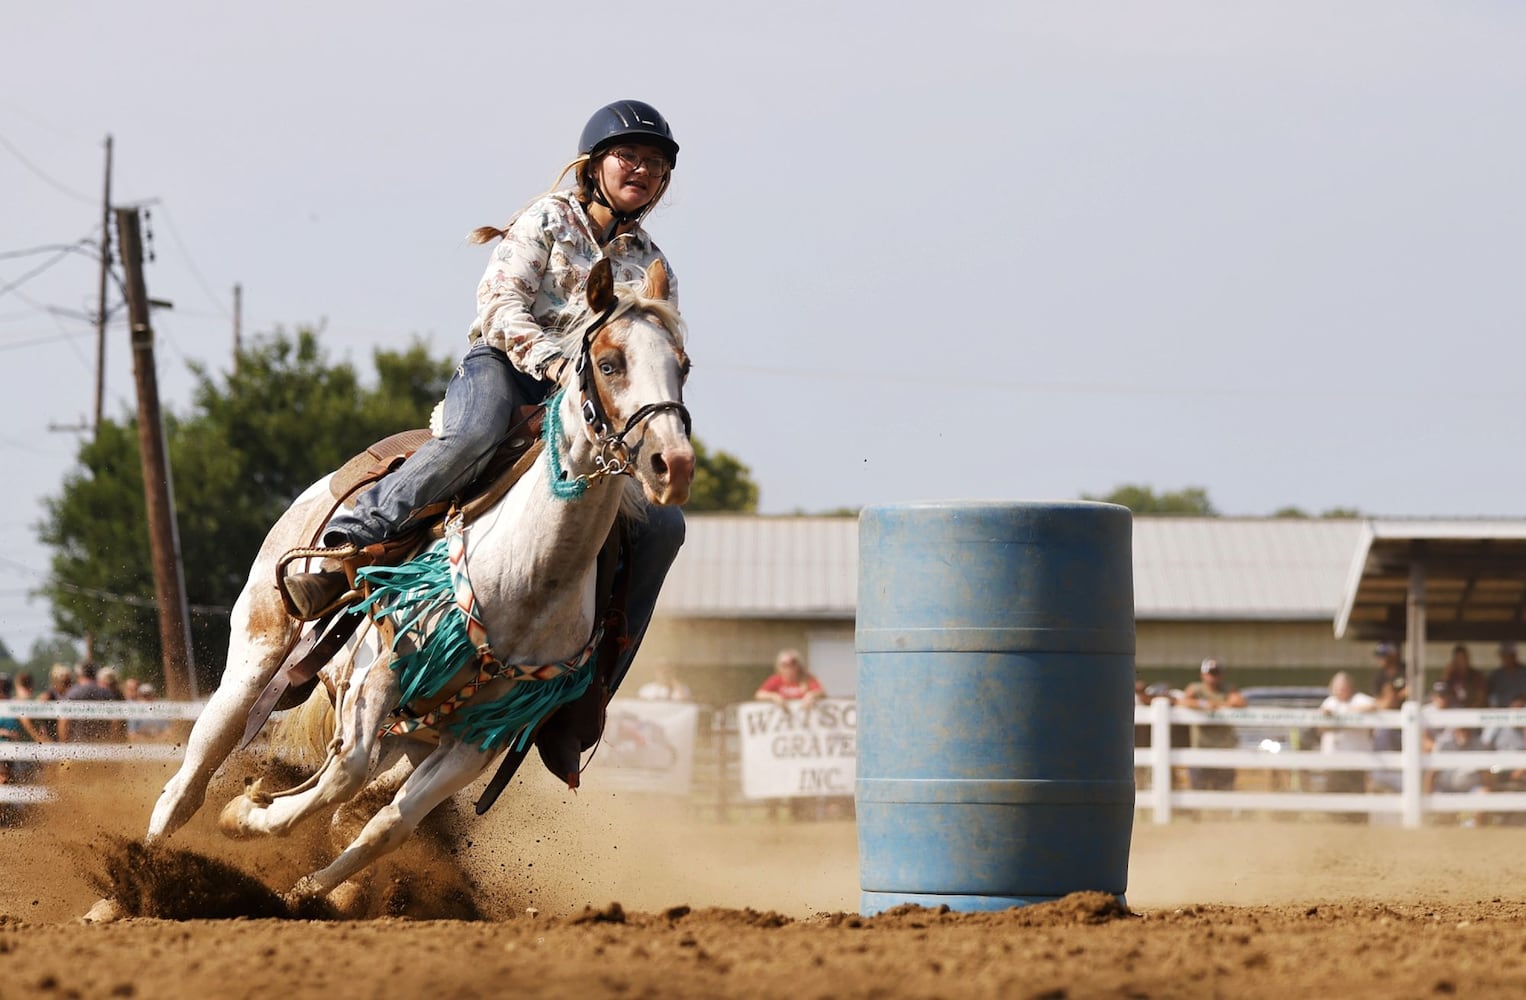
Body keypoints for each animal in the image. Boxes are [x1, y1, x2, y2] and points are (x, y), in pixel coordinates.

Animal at [123, 259, 692, 909]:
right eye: (610, 362)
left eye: (683, 364)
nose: (673, 464)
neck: (529, 578)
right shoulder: (386, 666)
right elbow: (341, 776)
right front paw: (246, 815)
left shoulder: (478, 737)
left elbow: (387, 824)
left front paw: (307, 890)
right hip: (259, 648)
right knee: (193, 775)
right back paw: (129, 888)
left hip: (413, 730)